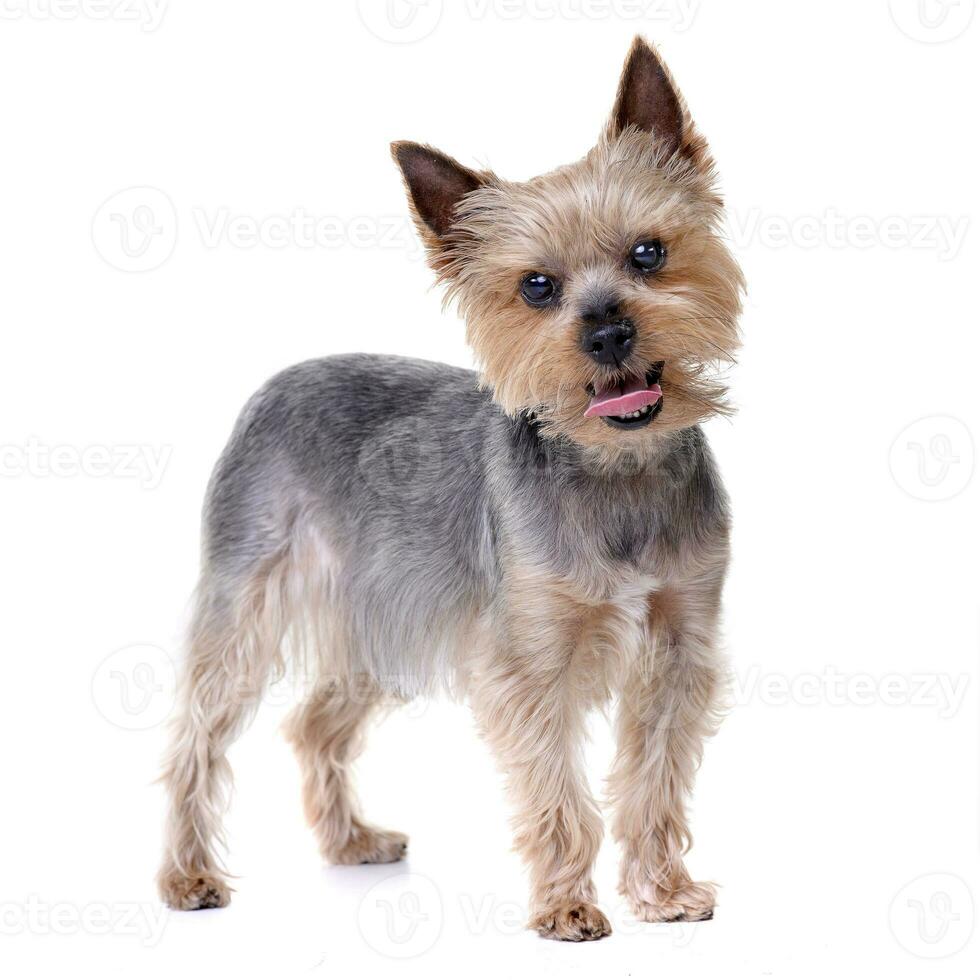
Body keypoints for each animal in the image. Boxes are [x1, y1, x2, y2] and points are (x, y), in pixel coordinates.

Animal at [159, 36, 744, 940]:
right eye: (537, 287)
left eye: (649, 252)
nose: (608, 332)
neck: (616, 471)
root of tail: (278, 379)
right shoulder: (531, 656)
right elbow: (557, 787)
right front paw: (567, 907)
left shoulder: (680, 642)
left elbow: (654, 776)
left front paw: (662, 891)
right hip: (250, 596)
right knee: (198, 735)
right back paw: (188, 876)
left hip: (376, 610)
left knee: (314, 723)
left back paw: (351, 840)